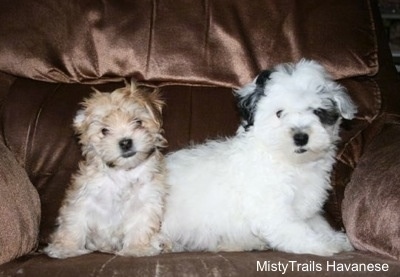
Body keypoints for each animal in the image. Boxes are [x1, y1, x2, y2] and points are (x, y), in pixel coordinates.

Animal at [43, 81, 167, 258]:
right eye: (104, 130)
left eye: (138, 122)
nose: (125, 142)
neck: (123, 172)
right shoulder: (82, 199)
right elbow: (73, 225)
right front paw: (66, 248)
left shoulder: (146, 202)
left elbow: (139, 227)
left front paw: (137, 249)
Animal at [161, 59, 358, 256]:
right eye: (279, 113)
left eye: (318, 111)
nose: (301, 137)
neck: (290, 163)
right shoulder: (273, 208)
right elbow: (294, 230)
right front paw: (324, 244)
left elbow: (318, 224)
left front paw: (336, 238)